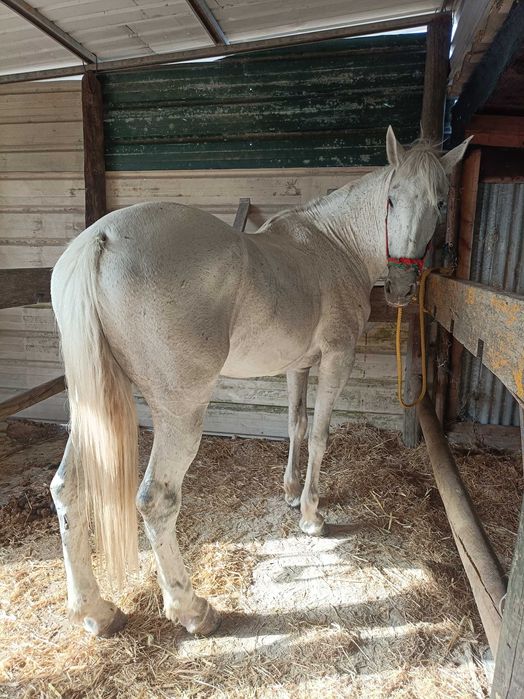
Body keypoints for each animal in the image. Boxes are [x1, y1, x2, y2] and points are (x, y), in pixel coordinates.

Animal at [50, 127, 470, 638]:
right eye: (392, 198)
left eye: (441, 202)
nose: (402, 286)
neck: (335, 246)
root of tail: (101, 238)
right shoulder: (337, 358)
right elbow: (321, 435)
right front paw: (311, 516)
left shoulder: (298, 365)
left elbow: (296, 426)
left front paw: (290, 495)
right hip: (180, 412)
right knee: (156, 500)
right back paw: (192, 610)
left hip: (93, 406)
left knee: (68, 489)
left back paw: (96, 612)